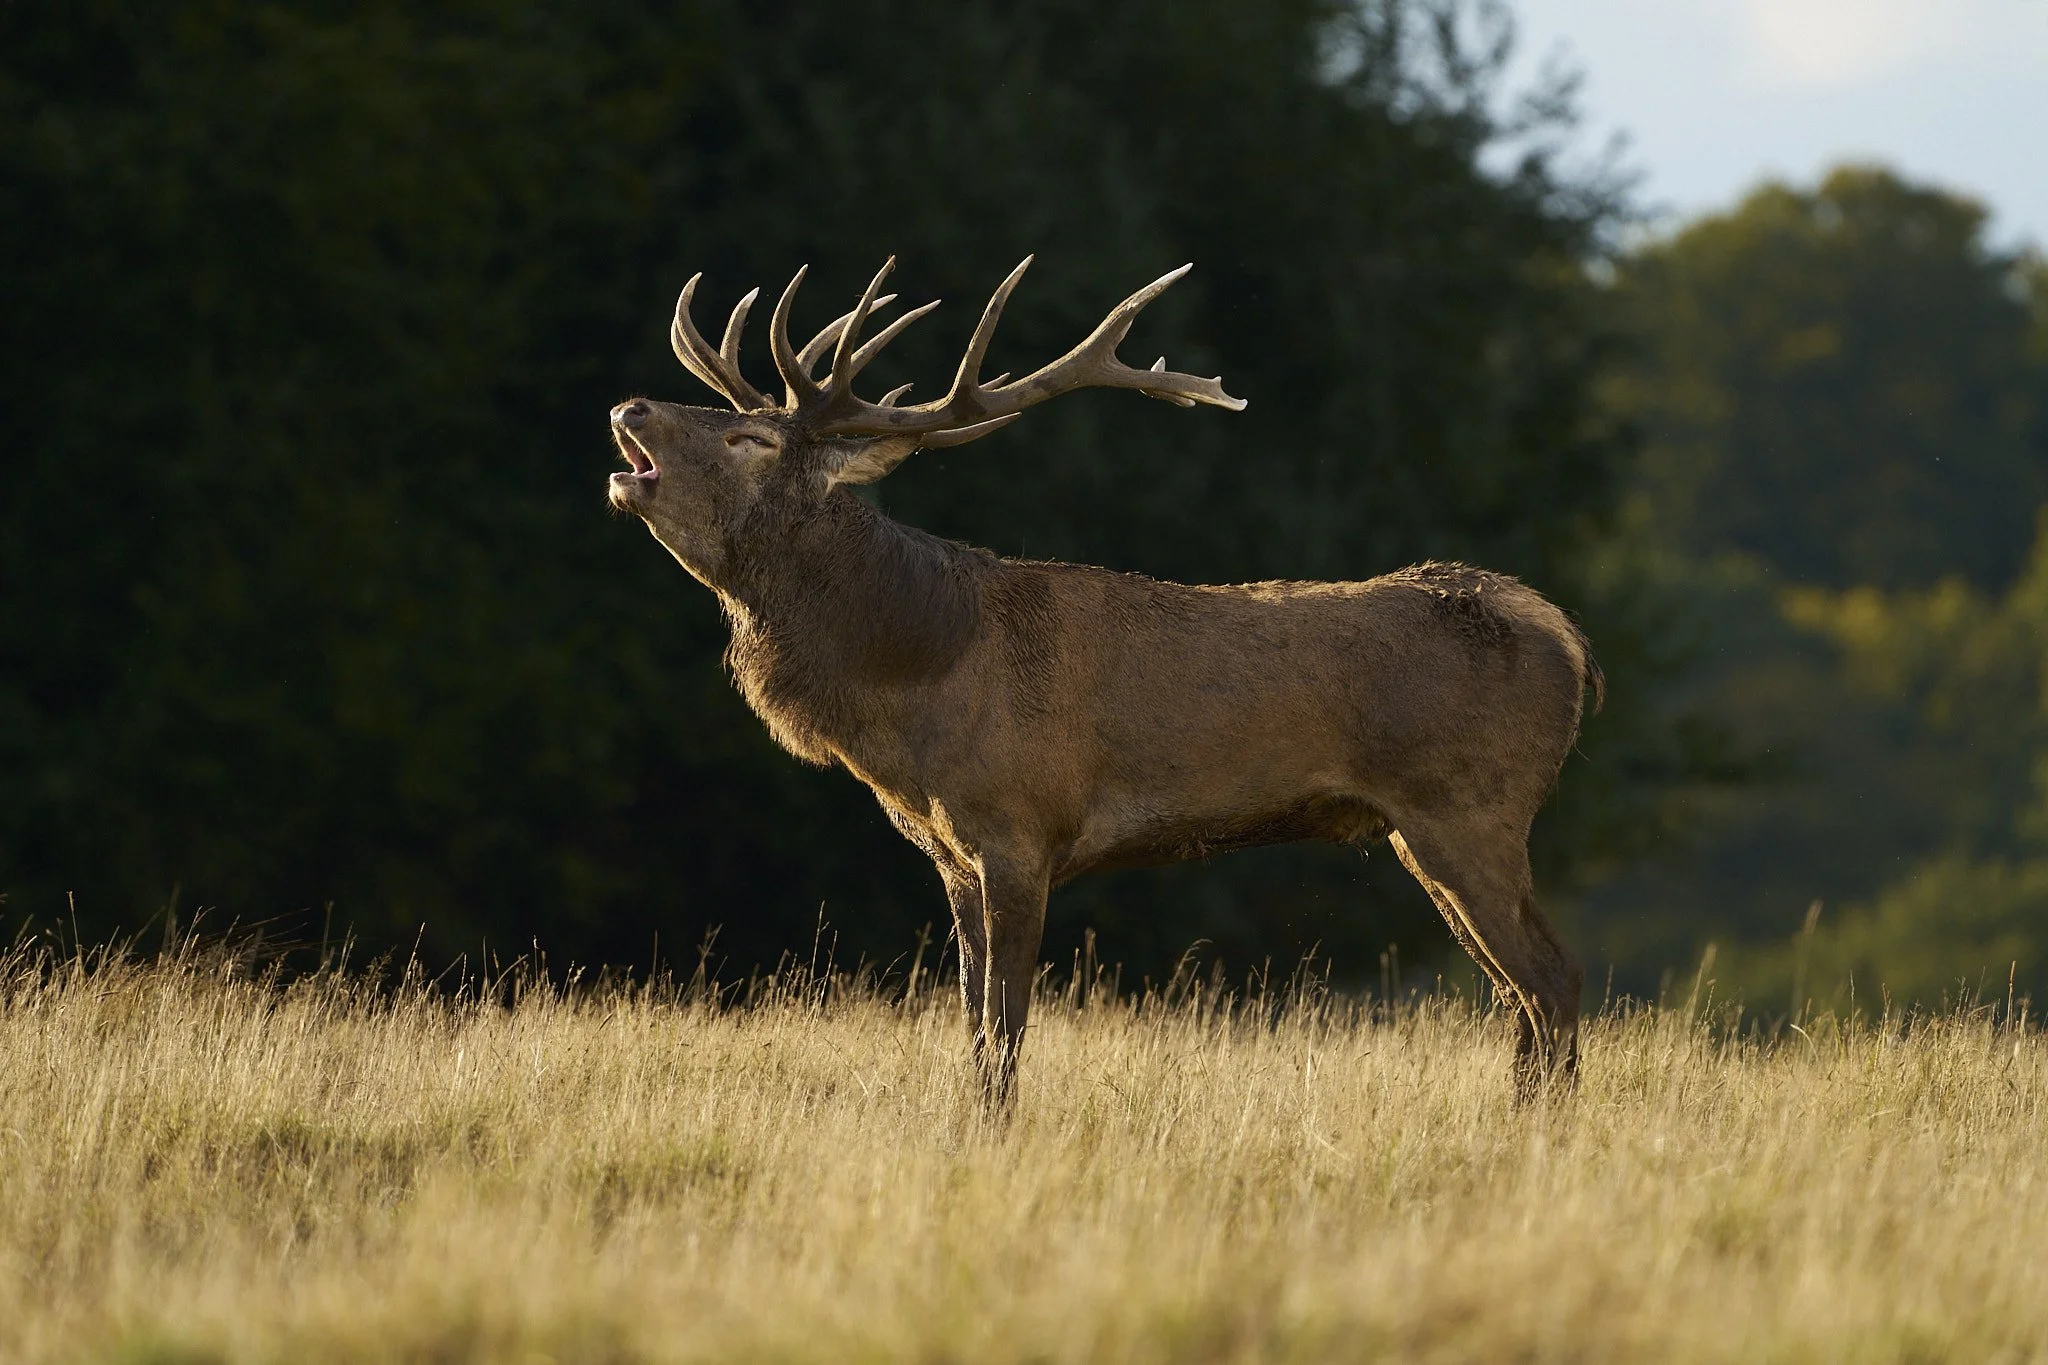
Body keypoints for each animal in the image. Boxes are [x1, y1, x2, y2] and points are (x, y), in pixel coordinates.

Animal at [607, 256, 1600, 1105]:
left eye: (749, 436)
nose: (631, 407)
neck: (918, 676)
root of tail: (1565, 635)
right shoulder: (952, 855)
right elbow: (973, 1027)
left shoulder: (1018, 826)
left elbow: (1005, 1033)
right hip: (1418, 829)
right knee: (1523, 993)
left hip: (1467, 808)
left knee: (1552, 980)